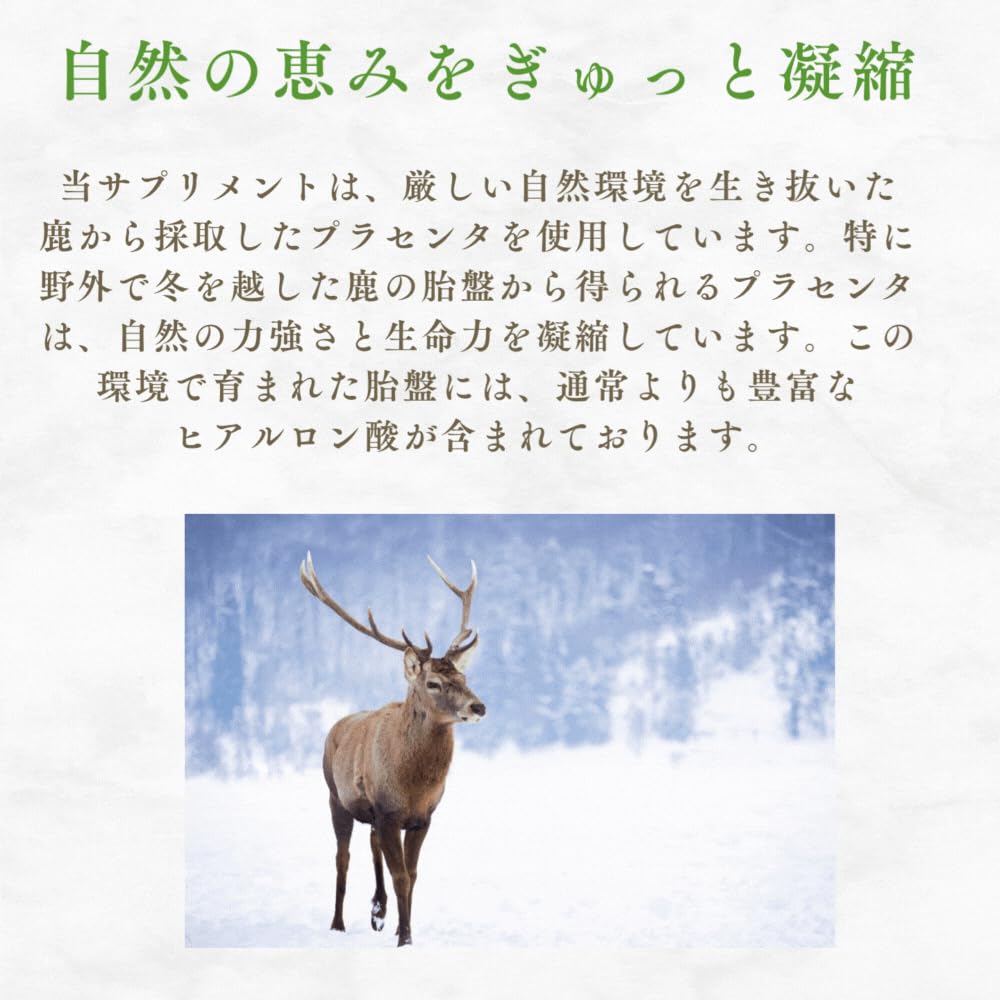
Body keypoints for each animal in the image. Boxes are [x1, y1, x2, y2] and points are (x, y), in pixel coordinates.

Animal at [299, 551, 486, 947]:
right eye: (433, 683)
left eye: (464, 677)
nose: (478, 707)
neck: (413, 784)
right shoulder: (387, 813)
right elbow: (400, 875)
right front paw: (405, 939)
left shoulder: (422, 817)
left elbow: (411, 876)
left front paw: (401, 927)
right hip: (335, 797)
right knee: (343, 857)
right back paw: (338, 923)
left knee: (372, 848)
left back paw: (378, 910)